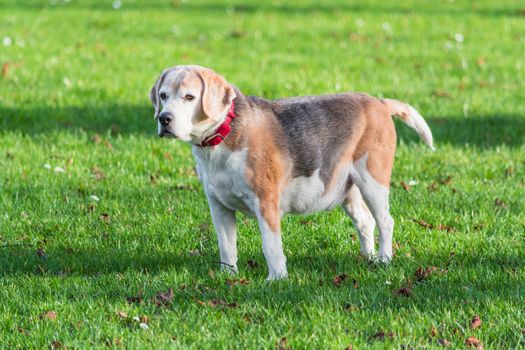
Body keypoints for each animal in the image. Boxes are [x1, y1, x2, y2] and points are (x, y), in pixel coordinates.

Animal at [148, 65, 434, 278]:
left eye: (189, 97)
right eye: (163, 96)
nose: (164, 119)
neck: (223, 135)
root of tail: (379, 103)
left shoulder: (266, 203)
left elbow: (271, 246)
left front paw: (277, 279)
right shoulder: (220, 207)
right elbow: (226, 247)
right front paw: (228, 277)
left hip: (372, 181)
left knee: (385, 221)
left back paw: (384, 259)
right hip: (348, 190)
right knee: (366, 222)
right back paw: (369, 258)